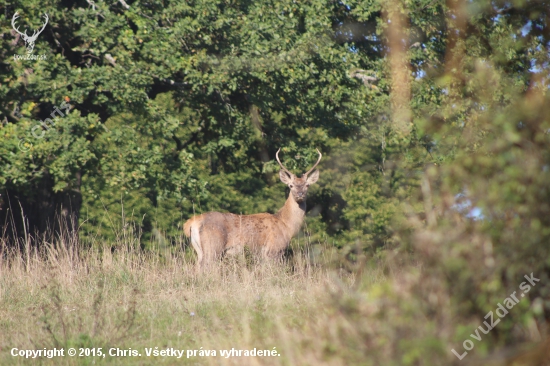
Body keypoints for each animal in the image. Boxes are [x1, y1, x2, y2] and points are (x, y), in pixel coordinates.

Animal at [185, 148, 324, 266]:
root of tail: (192, 222)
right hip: (213, 246)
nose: (300, 194)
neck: (286, 226)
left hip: (200, 250)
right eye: (291, 185)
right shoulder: (273, 250)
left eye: (307, 185)